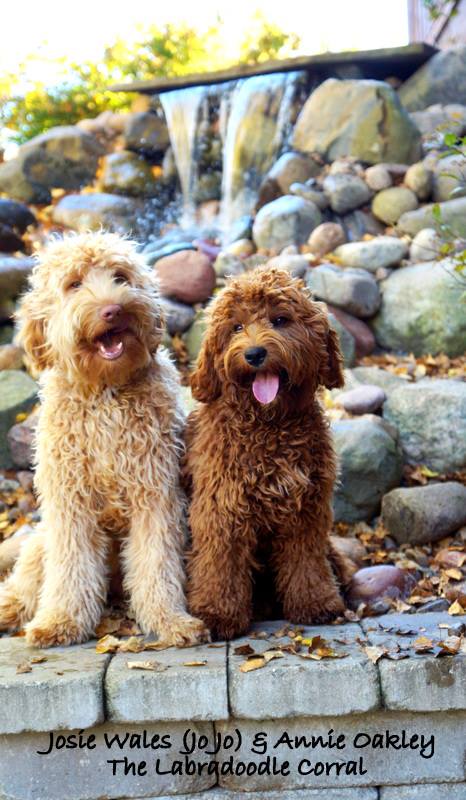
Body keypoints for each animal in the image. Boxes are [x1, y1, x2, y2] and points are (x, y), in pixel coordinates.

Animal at [0, 231, 208, 648]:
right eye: (74, 284)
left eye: (120, 277)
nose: (113, 310)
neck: (105, 394)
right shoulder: (69, 504)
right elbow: (71, 568)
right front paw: (60, 621)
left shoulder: (156, 495)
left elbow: (156, 564)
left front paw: (170, 620)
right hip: (41, 538)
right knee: (25, 581)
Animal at [184, 268, 352, 644]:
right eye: (236, 327)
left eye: (280, 320)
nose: (255, 354)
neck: (269, 425)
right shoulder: (222, 509)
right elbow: (221, 564)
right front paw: (218, 614)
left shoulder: (307, 510)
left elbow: (306, 561)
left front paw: (315, 602)